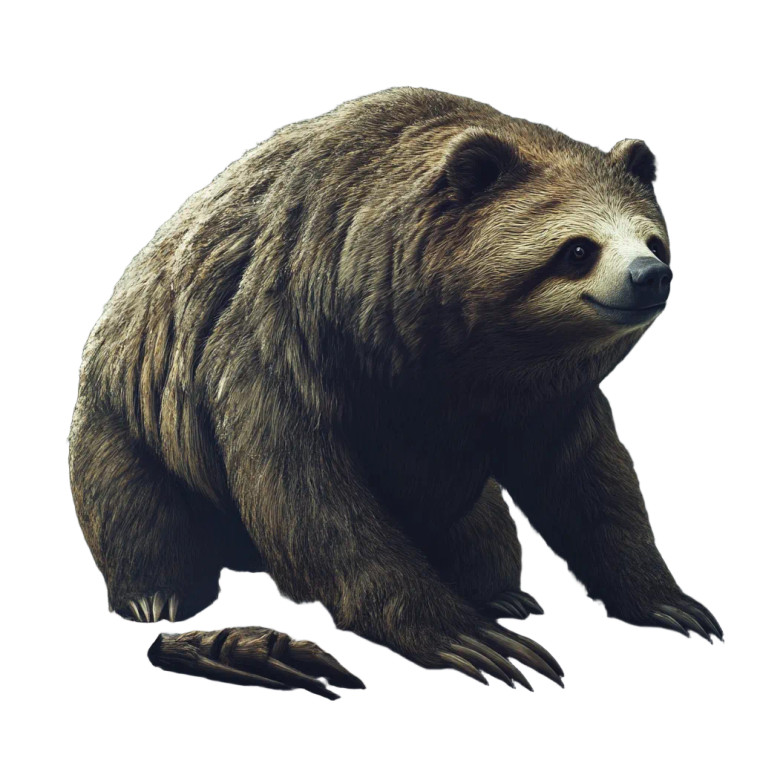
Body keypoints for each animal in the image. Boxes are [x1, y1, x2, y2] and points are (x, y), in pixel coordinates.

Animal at [69, 87, 722, 698]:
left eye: (653, 238)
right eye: (579, 247)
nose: (650, 277)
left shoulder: (542, 396)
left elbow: (589, 481)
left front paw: (672, 601)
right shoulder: (282, 340)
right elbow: (308, 493)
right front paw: (468, 637)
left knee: (483, 527)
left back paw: (501, 593)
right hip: (128, 414)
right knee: (135, 504)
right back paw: (158, 595)